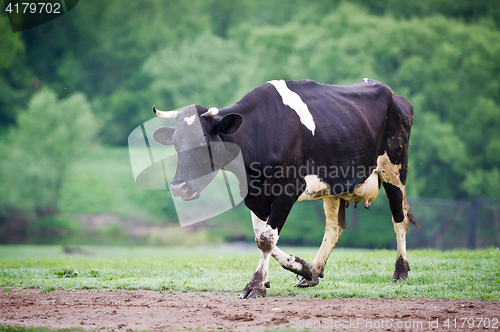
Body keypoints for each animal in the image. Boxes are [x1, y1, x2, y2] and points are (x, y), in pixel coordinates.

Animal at [152, 79, 418, 300]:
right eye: (175, 142)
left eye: (205, 140)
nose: (178, 186)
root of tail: (394, 94)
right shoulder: (255, 196)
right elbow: (260, 237)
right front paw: (303, 268)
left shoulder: (288, 189)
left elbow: (267, 239)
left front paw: (256, 286)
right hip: (335, 184)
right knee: (334, 227)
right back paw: (314, 272)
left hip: (394, 168)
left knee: (400, 219)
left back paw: (400, 272)